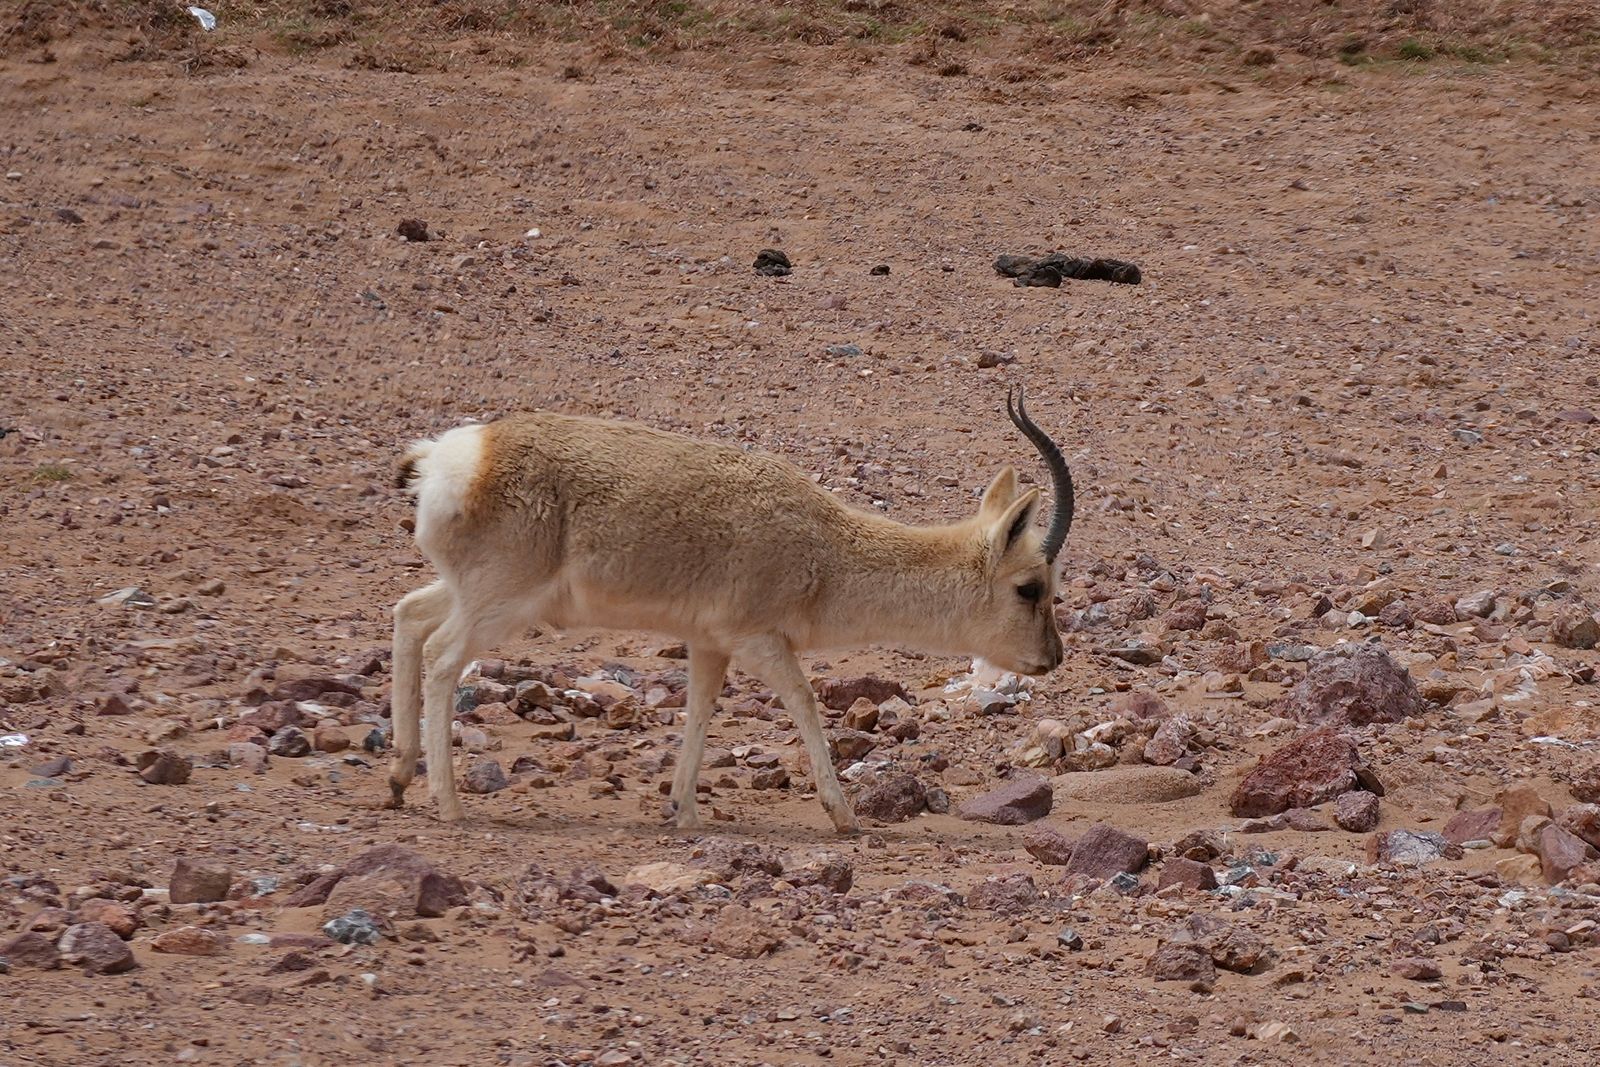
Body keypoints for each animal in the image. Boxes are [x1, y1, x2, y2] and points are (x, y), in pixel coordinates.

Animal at [388, 389, 1074, 834]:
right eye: (1030, 588)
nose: (1052, 658)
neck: (825, 548)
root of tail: (450, 460)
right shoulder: (758, 639)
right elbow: (804, 701)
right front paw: (844, 814)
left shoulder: (708, 643)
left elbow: (699, 710)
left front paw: (685, 811)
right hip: (503, 602)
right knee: (442, 654)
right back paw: (448, 802)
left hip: (471, 591)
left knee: (409, 615)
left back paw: (398, 777)